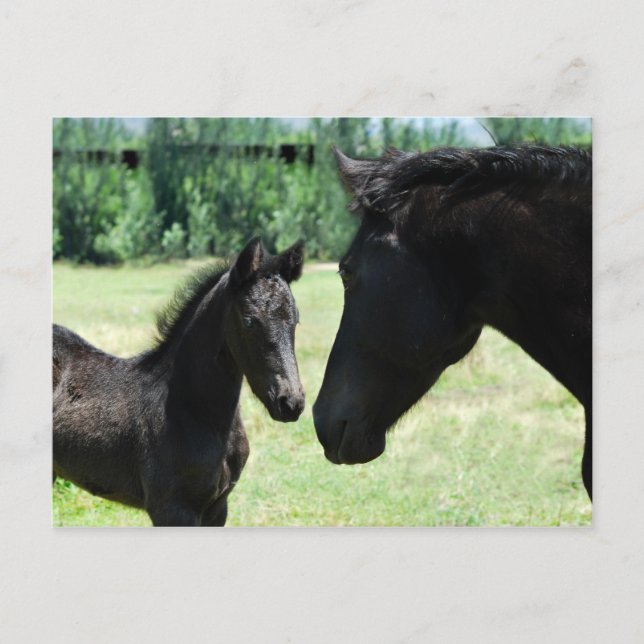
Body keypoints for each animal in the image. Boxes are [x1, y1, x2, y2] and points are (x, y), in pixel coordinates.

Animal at [53, 238, 305, 526]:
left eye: (296, 320)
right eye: (249, 320)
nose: (291, 402)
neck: (193, 410)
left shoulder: (218, 509)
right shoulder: (172, 509)